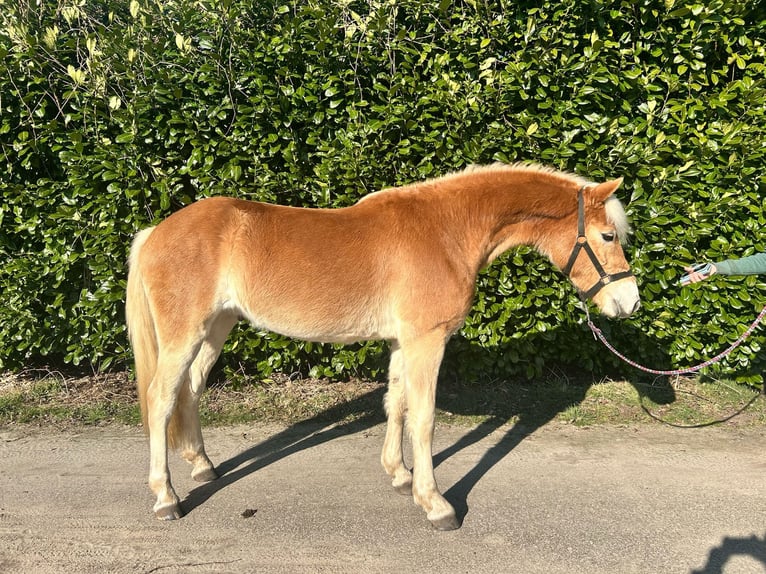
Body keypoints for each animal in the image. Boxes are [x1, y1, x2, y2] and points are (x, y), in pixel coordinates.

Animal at [127, 162, 640, 532]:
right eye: (608, 235)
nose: (630, 301)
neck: (446, 231)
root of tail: (154, 233)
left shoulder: (401, 341)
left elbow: (397, 405)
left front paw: (399, 474)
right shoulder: (427, 341)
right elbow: (425, 418)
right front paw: (436, 504)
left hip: (216, 328)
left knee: (190, 393)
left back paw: (202, 467)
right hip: (185, 335)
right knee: (160, 399)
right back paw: (166, 498)